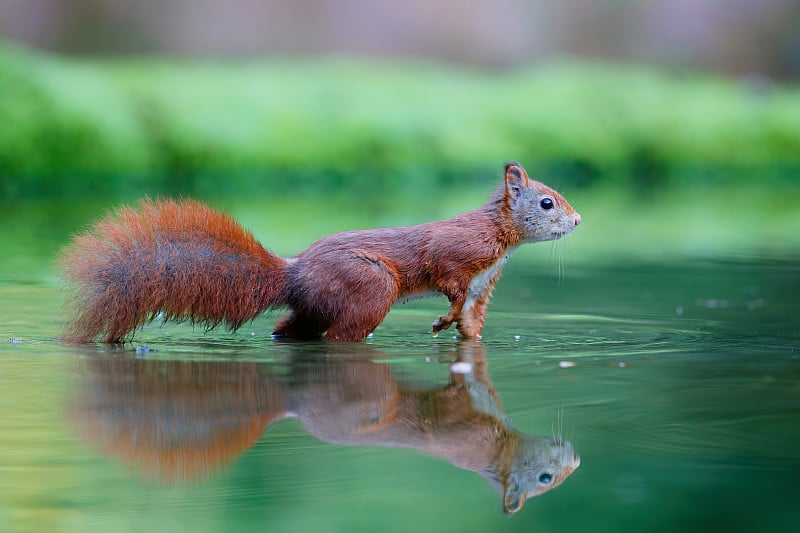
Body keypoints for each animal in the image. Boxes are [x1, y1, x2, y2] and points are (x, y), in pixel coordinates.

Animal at [57, 162, 580, 342]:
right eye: (547, 202)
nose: (576, 221)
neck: (500, 238)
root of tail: (294, 275)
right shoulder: (456, 254)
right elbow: (446, 279)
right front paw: (439, 320)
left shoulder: (481, 289)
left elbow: (470, 324)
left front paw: (459, 333)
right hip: (370, 287)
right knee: (338, 337)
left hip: (313, 307)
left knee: (291, 328)